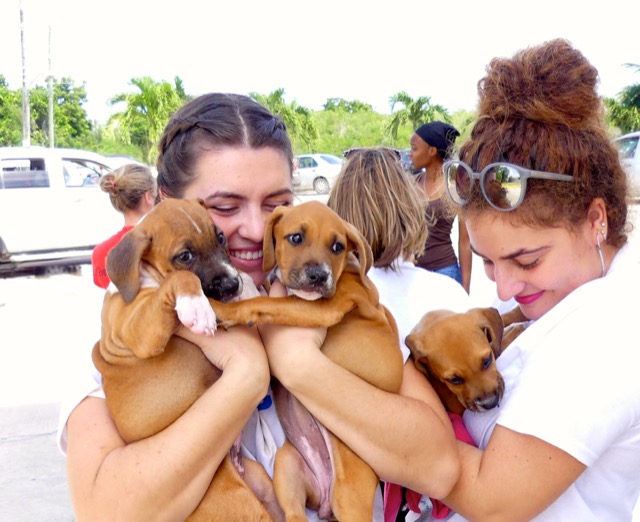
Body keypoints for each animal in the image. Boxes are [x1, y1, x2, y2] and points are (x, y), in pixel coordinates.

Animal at [92, 198, 278, 520]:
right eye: (185, 255)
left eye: (220, 237)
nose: (231, 285)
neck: (148, 275)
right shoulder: (139, 329)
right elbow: (182, 277)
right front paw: (196, 307)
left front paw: (248, 289)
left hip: (263, 486)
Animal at [212, 201, 402, 520]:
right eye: (296, 238)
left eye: (338, 246)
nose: (319, 276)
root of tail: (325, 500)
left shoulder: (320, 308)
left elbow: (267, 303)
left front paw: (223, 309)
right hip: (288, 468)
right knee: (293, 513)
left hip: (349, 496)